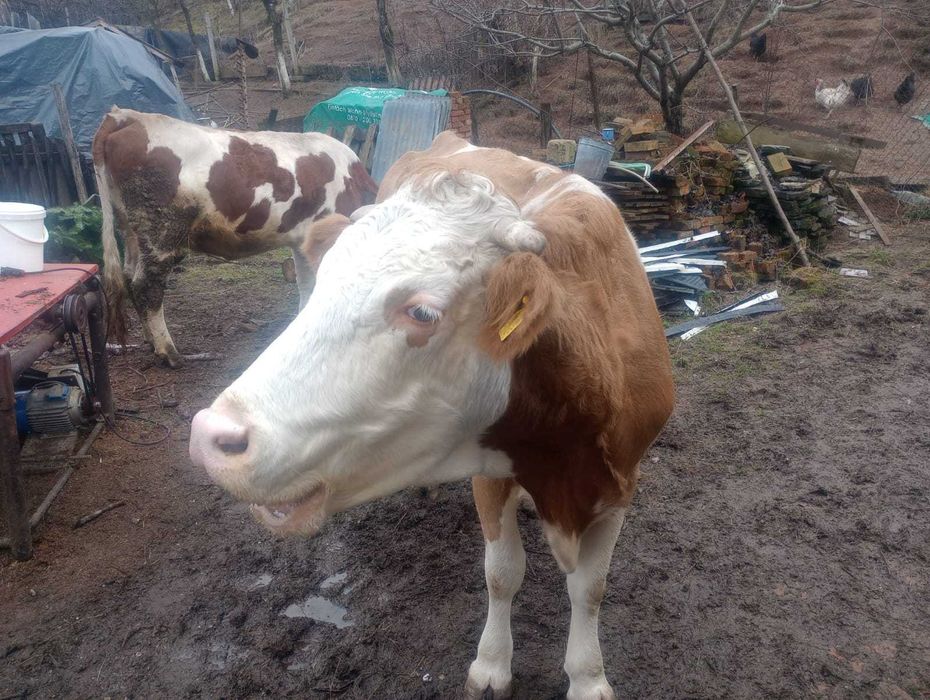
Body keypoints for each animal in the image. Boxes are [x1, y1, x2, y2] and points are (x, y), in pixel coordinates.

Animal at [92, 107, 376, 368]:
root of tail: (128, 116)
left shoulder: (303, 241)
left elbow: (307, 285)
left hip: (131, 229)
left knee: (130, 277)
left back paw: (151, 342)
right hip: (162, 230)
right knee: (146, 285)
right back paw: (168, 352)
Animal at [188, 132, 675, 699]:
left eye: (421, 312)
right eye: (324, 279)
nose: (211, 435)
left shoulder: (621, 477)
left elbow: (590, 588)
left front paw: (588, 677)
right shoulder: (490, 475)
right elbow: (502, 573)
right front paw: (492, 665)